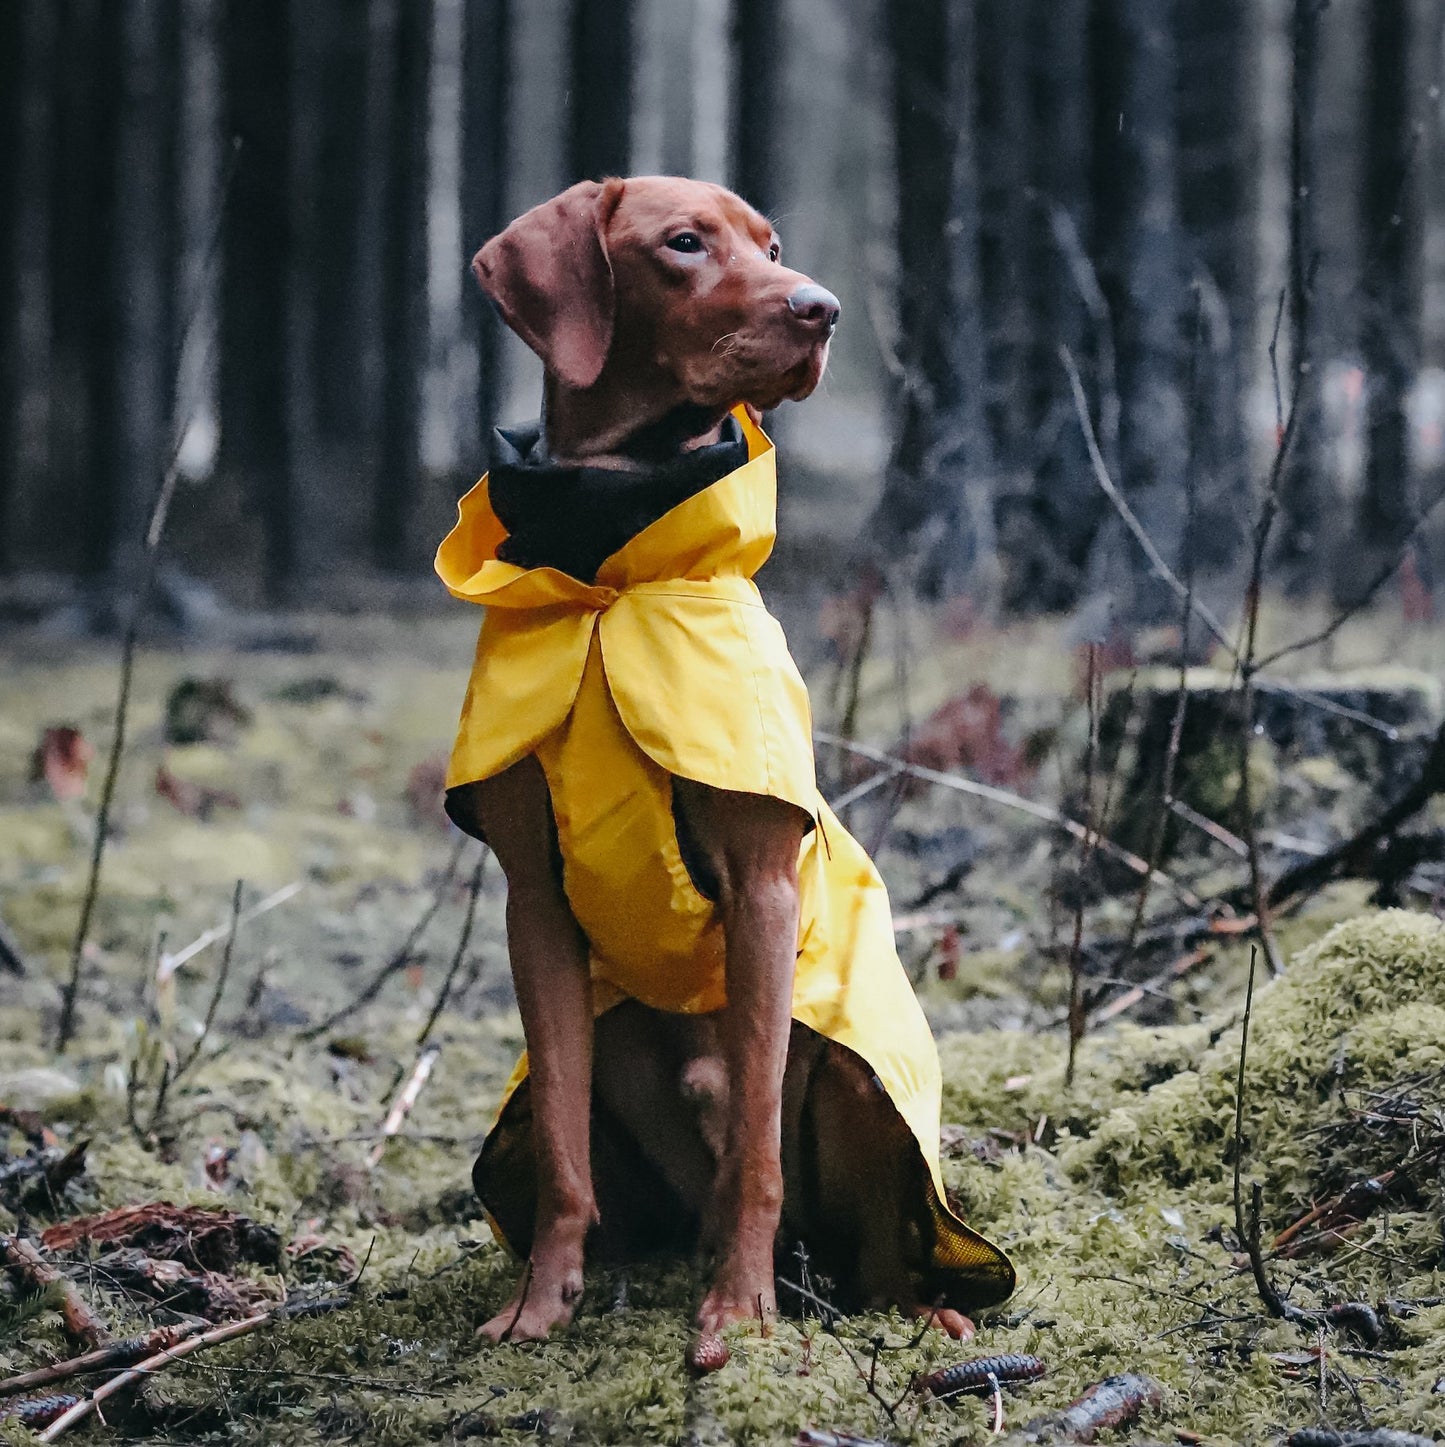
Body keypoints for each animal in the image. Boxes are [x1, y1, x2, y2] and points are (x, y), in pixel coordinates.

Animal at [433, 177, 1012, 1342]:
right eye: (684, 244)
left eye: (773, 244)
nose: (821, 309)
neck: (609, 568)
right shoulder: (533, 905)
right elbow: (558, 1142)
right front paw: (539, 1303)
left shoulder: (760, 886)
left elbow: (754, 1142)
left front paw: (738, 1314)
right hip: (618, 1044)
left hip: (854, 1078)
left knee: (870, 1252)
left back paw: (904, 1308)